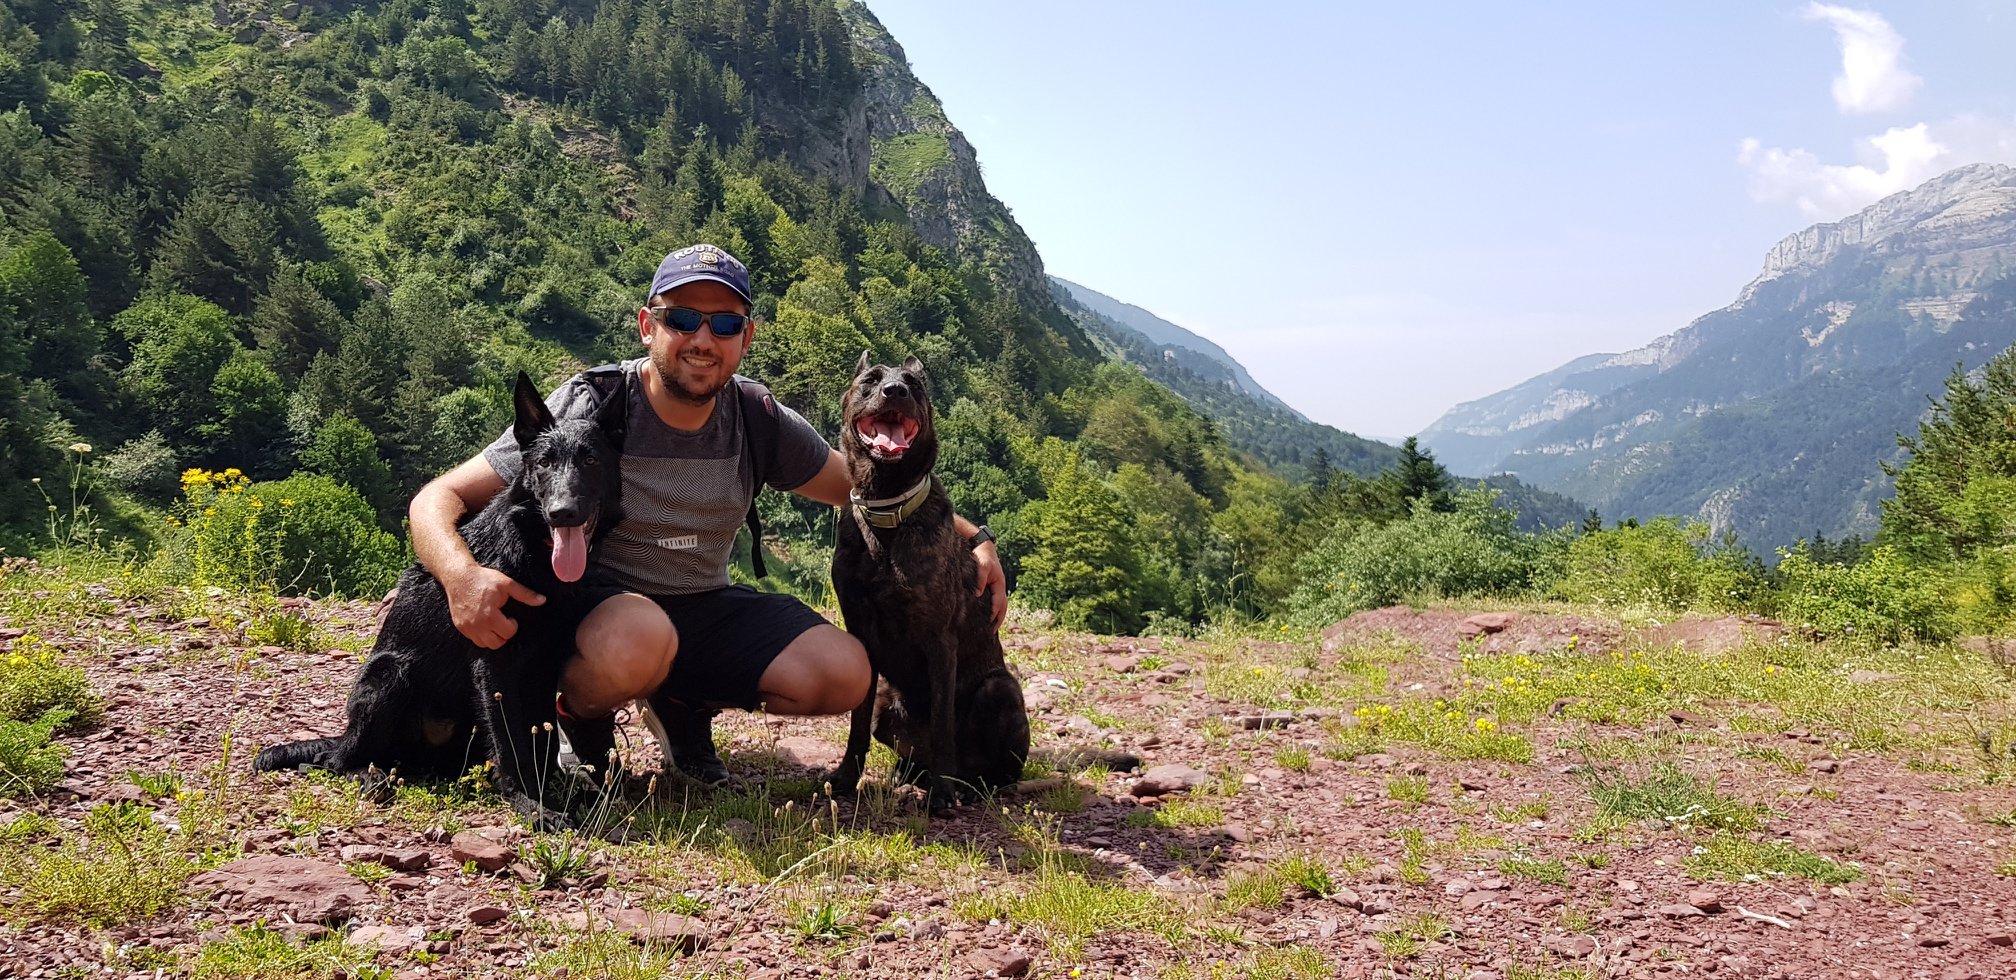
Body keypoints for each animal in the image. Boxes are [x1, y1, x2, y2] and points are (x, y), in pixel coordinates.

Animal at [258, 371, 620, 830]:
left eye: (590, 461)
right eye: (544, 463)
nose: (563, 513)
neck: (533, 555)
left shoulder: (543, 666)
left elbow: (544, 736)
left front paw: (557, 788)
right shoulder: (493, 663)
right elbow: (512, 742)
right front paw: (529, 802)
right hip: (388, 677)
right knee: (336, 761)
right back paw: (368, 775)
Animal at [826, 352, 1032, 802]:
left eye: (914, 386)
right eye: (871, 380)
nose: (895, 392)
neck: (887, 512)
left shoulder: (939, 642)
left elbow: (941, 725)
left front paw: (940, 796)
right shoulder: (861, 637)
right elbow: (856, 724)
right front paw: (846, 778)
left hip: (999, 689)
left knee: (995, 771)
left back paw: (961, 786)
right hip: (886, 699)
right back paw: (910, 774)